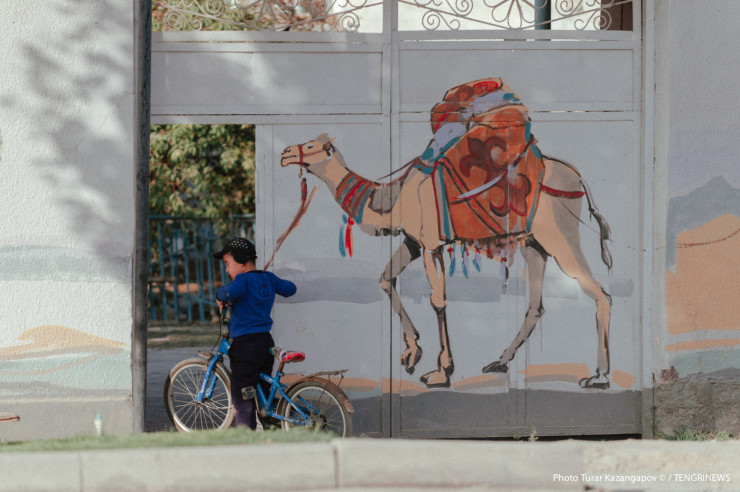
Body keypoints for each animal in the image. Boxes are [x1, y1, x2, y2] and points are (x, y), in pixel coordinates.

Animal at [279, 81, 613, 390]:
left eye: (312, 146)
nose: (284, 153)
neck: (394, 201)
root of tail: (578, 179)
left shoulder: (430, 245)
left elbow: (437, 299)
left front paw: (441, 372)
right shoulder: (412, 241)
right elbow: (386, 279)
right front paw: (411, 352)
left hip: (559, 232)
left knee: (599, 292)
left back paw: (599, 376)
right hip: (533, 243)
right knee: (535, 305)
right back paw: (499, 362)